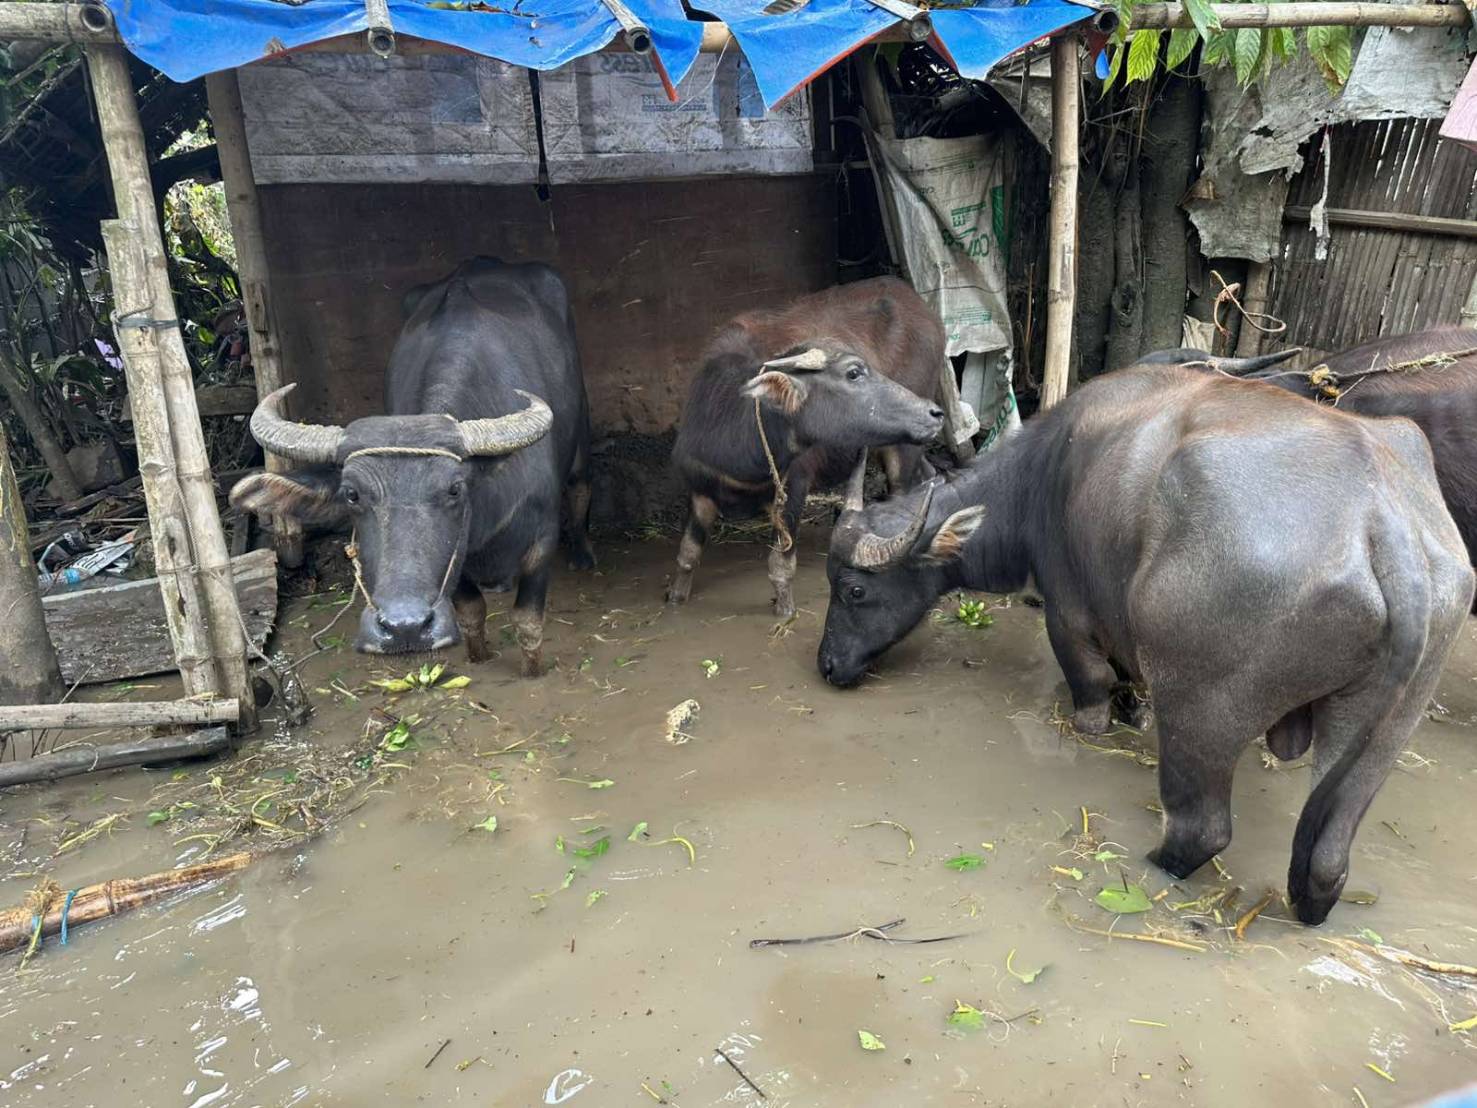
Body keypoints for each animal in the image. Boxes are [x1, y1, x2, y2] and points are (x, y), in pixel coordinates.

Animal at [670, 277, 945, 620]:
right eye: (854, 372)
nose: (933, 412)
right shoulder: (699, 490)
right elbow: (687, 554)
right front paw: (675, 598)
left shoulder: (793, 491)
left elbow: (780, 567)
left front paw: (785, 613)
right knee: (930, 475)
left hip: (901, 450)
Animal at [815, 360, 1471, 921]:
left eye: (852, 589)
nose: (826, 666)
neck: (1043, 477)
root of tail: (1383, 519)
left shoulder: (1069, 618)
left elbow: (1094, 697)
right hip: (1386, 725)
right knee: (1328, 858)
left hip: (1202, 711)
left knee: (1201, 827)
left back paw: (1154, 862)